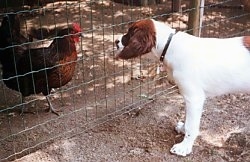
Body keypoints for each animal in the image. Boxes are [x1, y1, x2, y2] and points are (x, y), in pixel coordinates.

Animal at [114, 18, 250, 156]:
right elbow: (187, 117)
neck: (170, 46)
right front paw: (183, 129)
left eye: (130, 33)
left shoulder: (194, 98)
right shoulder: (188, 97)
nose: (116, 41)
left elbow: (191, 125)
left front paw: (184, 147)